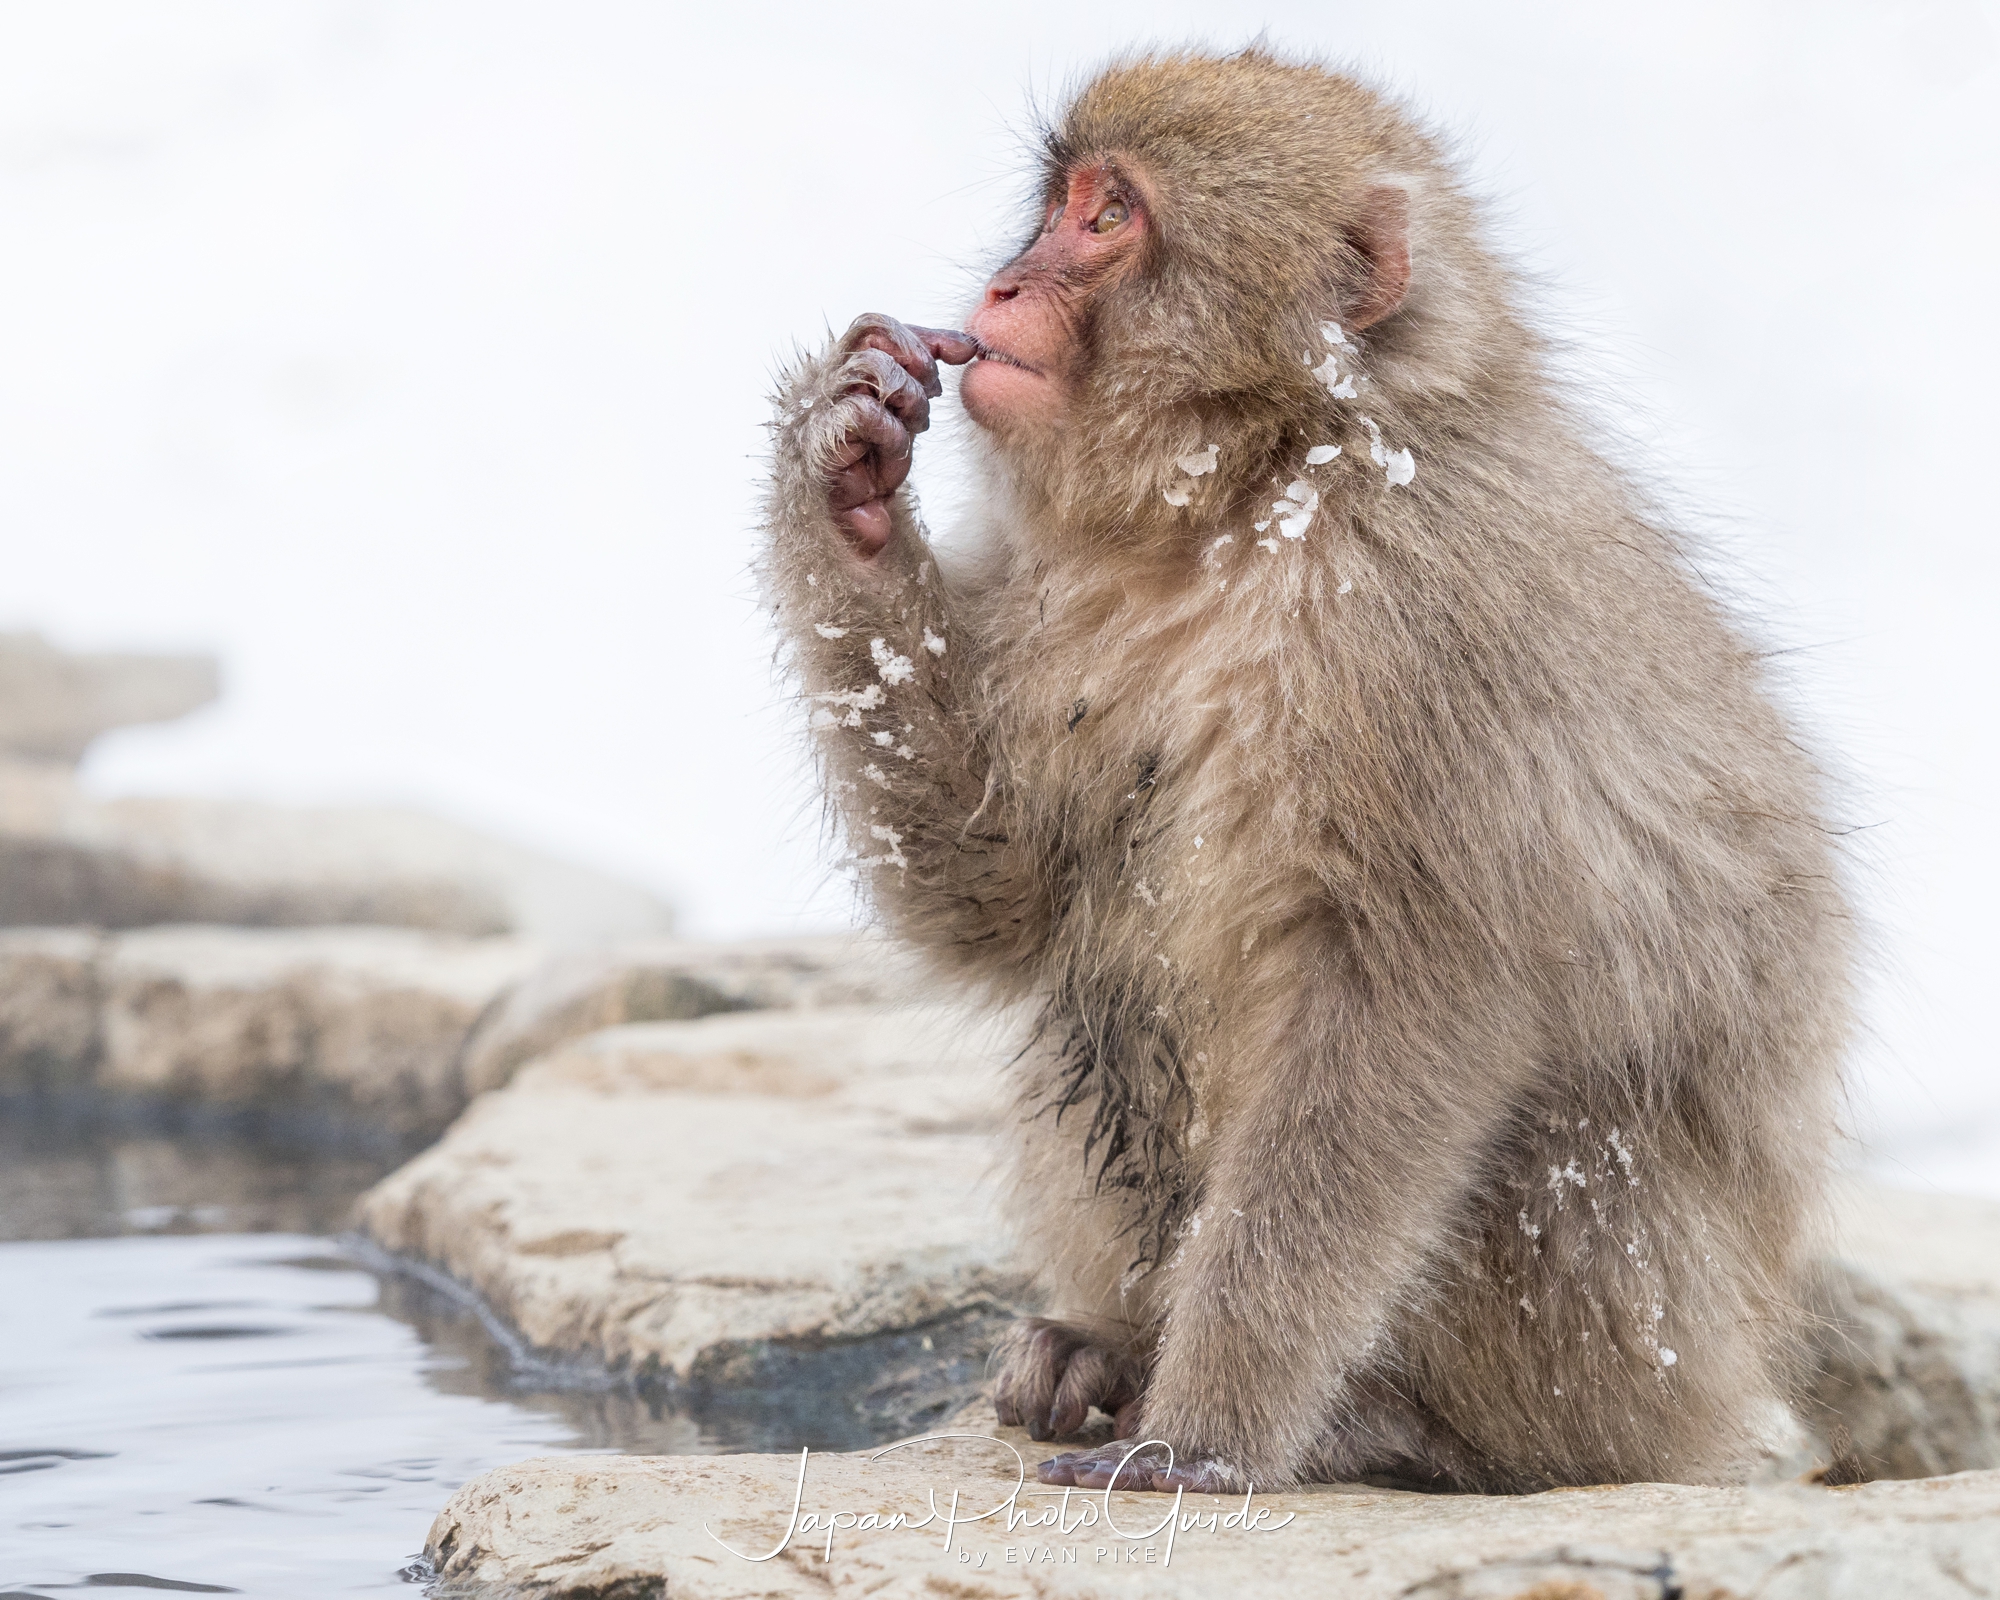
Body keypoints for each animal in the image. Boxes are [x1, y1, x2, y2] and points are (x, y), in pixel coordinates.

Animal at [756, 53, 1848, 1504]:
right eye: (1056, 201)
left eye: (1110, 217)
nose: (998, 288)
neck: (1250, 495)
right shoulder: (1055, 597)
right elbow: (999, 900)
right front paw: (848, 474)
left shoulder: (1424, 633)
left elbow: (1408, 1009)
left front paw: (1205, 1434)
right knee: (1088, 1016)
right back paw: (1102, 1343)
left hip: (1652, 1347)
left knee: (1552, 1148)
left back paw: (1403, 1430)